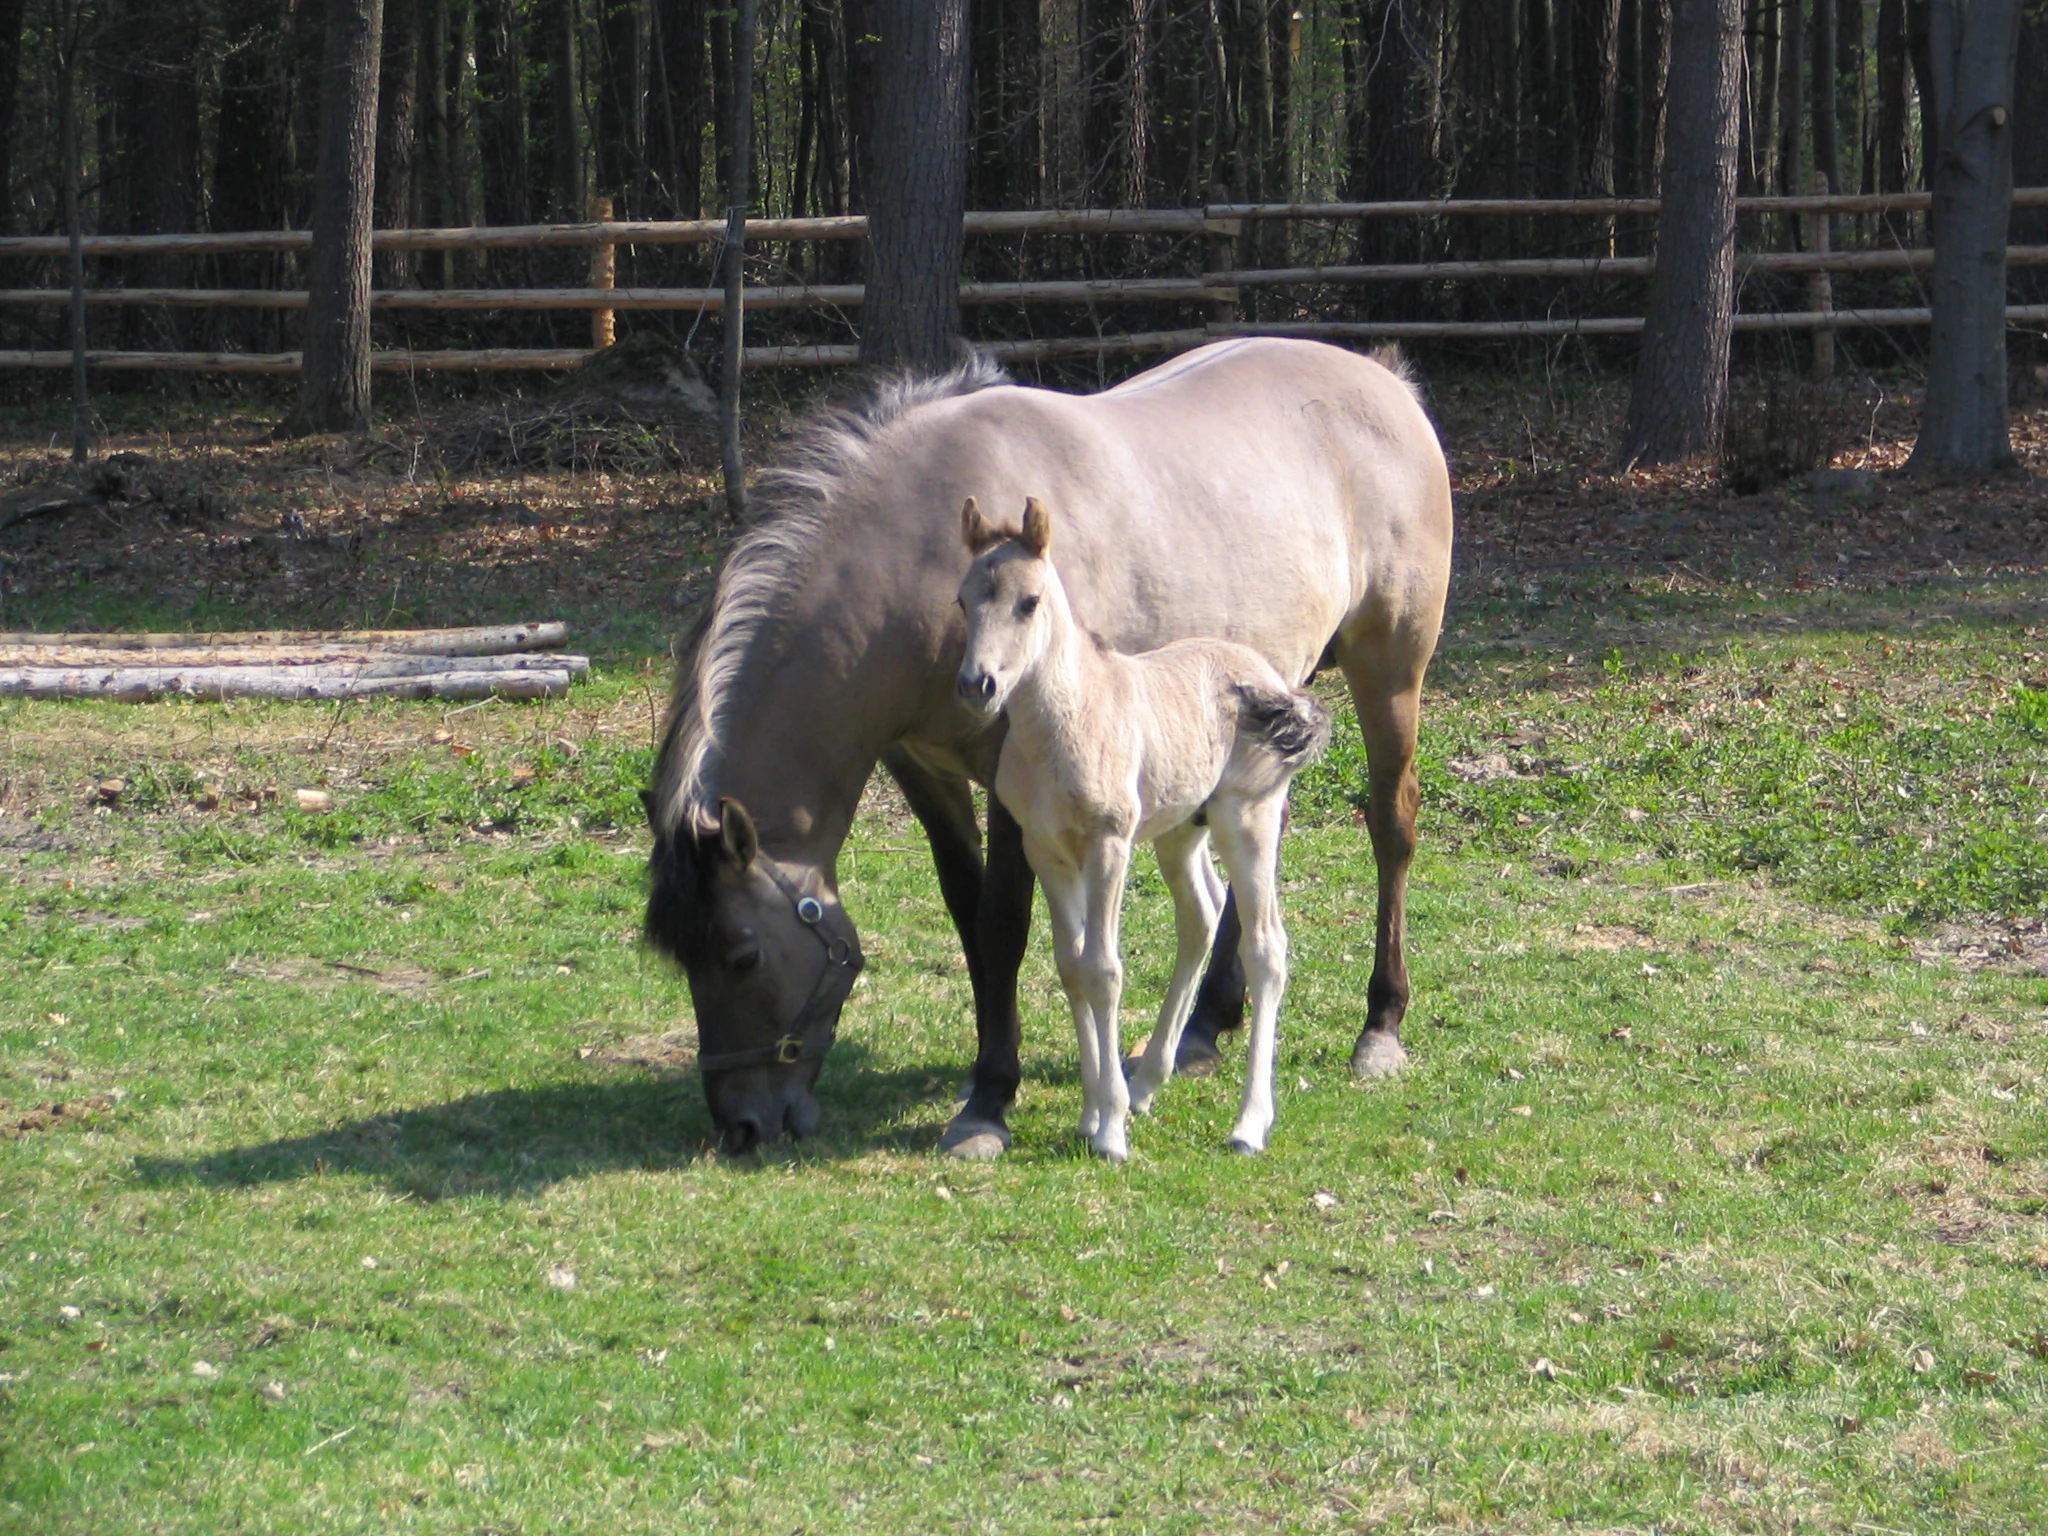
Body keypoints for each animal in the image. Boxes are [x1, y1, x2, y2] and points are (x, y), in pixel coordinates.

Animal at [956, 494, 1333, 1161]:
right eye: (961, 602)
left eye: (1029, 602)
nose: (979, 685)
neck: (1064, 721)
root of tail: (1271, 680)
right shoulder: (1046, 850)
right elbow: (1072, 967)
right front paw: (1092, 1113)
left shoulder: (1108, 845)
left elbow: (1104, 970)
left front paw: (1109, 1131)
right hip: (1181, 832)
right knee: (1201, 917)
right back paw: (1149, 1080)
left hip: (1247, 821)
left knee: (1266, 948)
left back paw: (1249, 1124)